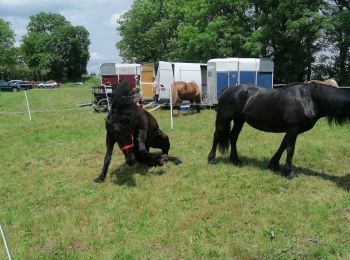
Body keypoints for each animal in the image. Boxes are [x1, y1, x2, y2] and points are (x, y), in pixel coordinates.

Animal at [208, 83, 350, 179]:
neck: (308, 99)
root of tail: (228, 89)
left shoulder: (292, 129)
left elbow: (283, 146)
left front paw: (274, 165)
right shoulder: (293, 128)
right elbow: (290, 149)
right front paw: (289, 172)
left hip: (239, 120)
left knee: (233, 137)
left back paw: (236, 160)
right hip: (224, 118)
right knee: (217, 135)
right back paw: (212, 160)